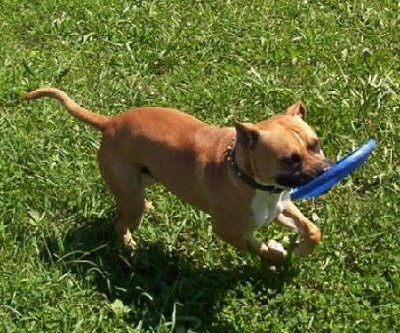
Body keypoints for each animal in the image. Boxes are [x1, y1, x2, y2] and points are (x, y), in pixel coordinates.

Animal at [24, 88, 332, 264]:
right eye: (289, 159)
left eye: (315, 144)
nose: (325, 171)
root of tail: (109, 122)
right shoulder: (229, 232)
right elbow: (259, 247)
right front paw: (277, 252)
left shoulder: (281, 208)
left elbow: (312, 230)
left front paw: (303, 248)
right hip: (130, 195)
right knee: (120, 223)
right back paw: (130, 245)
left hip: (144, 178)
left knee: (124, 206)